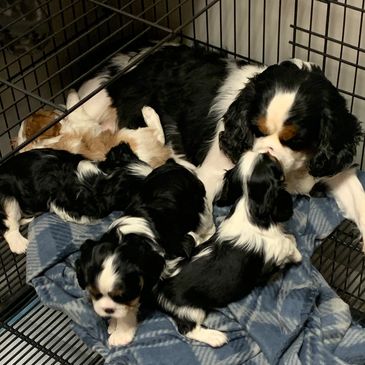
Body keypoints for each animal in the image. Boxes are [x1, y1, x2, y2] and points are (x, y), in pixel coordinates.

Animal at [75, 159, 215, 344]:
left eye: (122, 296)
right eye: (95, 294)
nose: (107, 310)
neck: (127, 238)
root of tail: (175, 166)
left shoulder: (161, 267)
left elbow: (132, 305)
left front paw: (122, 332)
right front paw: (114, 323)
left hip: (200, 209)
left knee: (207, 225)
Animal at [155, 150, 300, 346]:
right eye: (269, 161)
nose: (267, 151)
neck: (249, 207)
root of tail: (160, 282)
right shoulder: (277, 249)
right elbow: (290, 246)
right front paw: (296, 251)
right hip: (190, 309)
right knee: (188, 328)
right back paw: (217, 337)